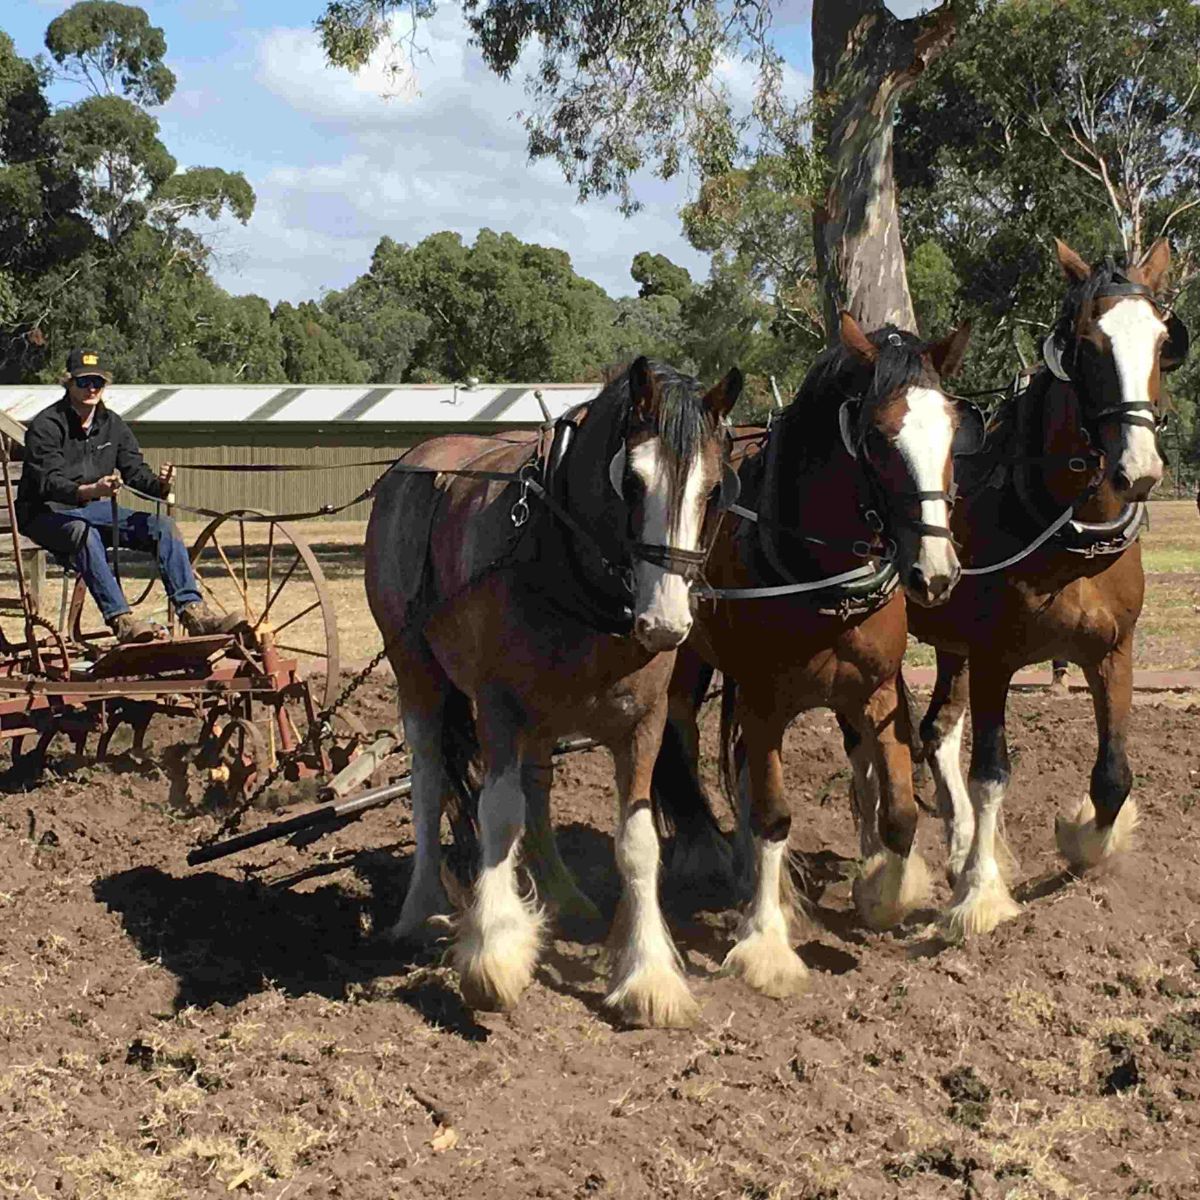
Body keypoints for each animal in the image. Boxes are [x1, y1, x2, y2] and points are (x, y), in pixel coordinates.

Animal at [364, 356, 742, 1027]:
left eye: (715, 488)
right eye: (632, 481)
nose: (666, 624)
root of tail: (414, 460)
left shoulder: (645, 722)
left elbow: (638, 842)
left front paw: (648, 976)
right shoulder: (497, 707)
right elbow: (497, 815)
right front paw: (493, 956)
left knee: (536, 789)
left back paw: (563, 896)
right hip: (418, 675)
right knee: (431, 782)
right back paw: (422, 908)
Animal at [646, 313, 980, 998]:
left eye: (952, 429)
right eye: (877, 438)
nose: (936, 573)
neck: (819, 572)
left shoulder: (877, 693)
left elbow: (899, 811)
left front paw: (883, 893)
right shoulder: (765, 703)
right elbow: (774, 815)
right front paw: (767, 942)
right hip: (689, 661)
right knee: (684, 736)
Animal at [907, 237, 1188, 937]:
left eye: (1163, 339)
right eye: (1085, 346)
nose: (1140, 469)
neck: (1068, 537)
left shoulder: (1114, 653)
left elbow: (1113, 776)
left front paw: (1086, 843)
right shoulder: (995, 661)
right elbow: (991, 773)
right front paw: (981, 895)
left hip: (949, 644)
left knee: (935, 729)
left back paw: (956, 843)